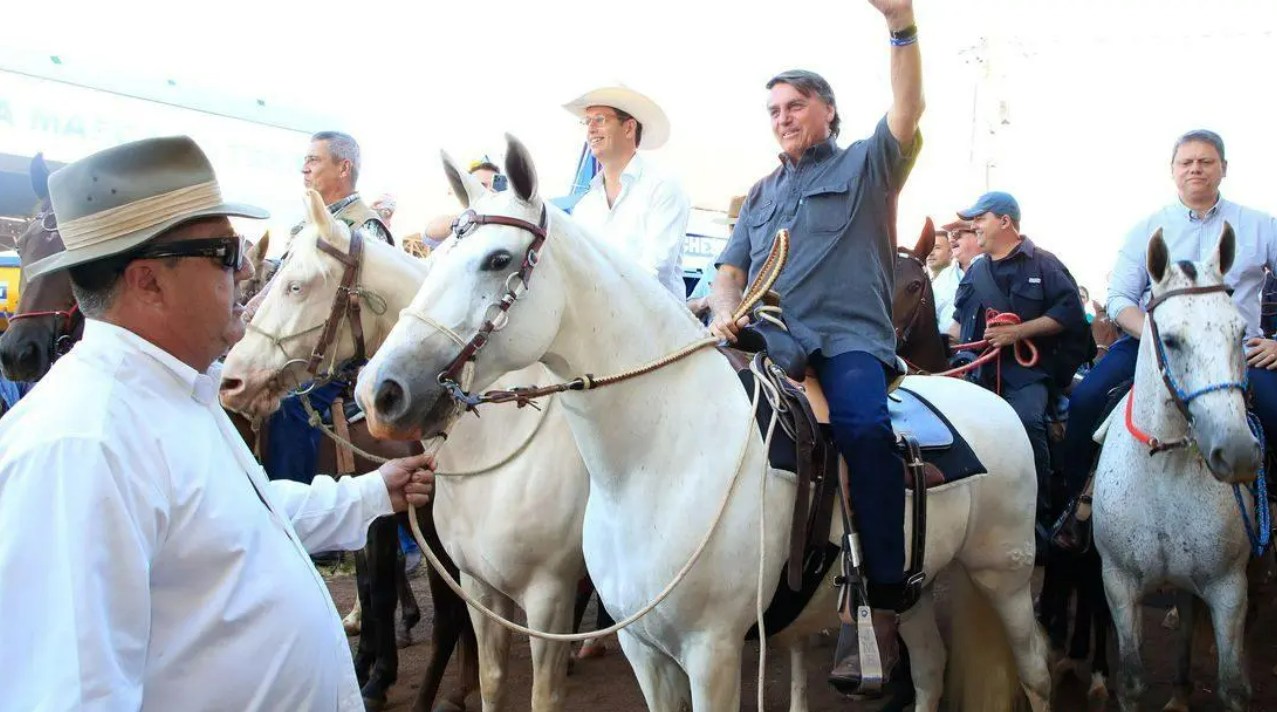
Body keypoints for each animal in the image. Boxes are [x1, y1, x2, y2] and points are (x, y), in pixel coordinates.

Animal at [222, 190, 589, 712]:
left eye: (295, 286)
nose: (231, 380)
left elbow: (420, 604)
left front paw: (392, 680)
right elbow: (379, 585)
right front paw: (380, 668)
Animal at [357, 136, 1047, 709]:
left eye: (497, 259)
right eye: (438, 255)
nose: (380, 392)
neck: (659, 459)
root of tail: (985, 399)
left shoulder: (708, 651)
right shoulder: (642, 648)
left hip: (1005, 576)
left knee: (1035, 671)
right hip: (917, 588)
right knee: (929, 669)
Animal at [1093, 224, 1261, 712]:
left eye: (1241, 333)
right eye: (1170, 340)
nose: (1238, 453)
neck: (1164, 469)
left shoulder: (1228, 589)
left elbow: (1232, 686)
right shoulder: (1118, 583)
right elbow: (1131, 680)